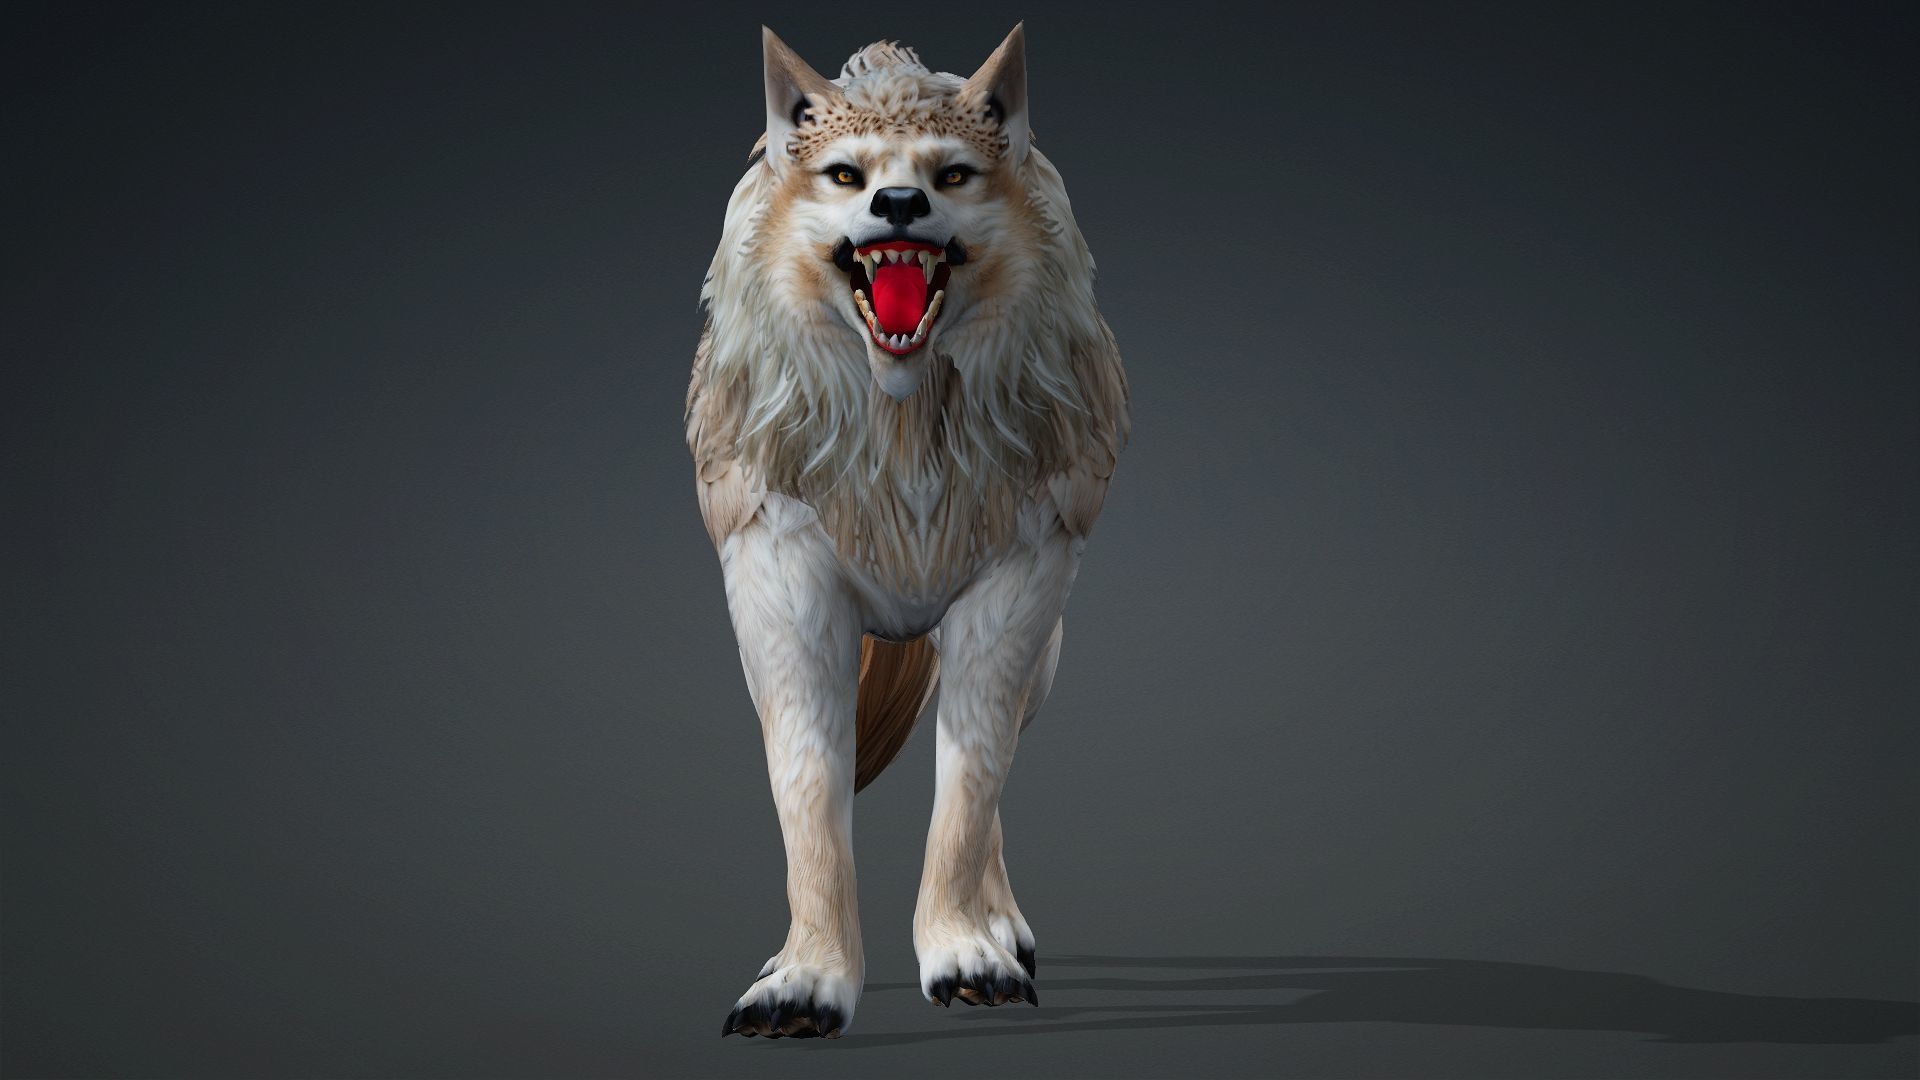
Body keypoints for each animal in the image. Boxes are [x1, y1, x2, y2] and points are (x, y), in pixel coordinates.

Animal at [686, 25, 1130, 1039]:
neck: (902, 435)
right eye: (847, 176)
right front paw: (806, 978)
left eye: (953, 175)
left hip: (1045, 651)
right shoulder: (781, 579)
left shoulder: (1019, 579)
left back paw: (1003, 928)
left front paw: (965, 950)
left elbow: (968, 788)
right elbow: (810, 793)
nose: (898, 203)